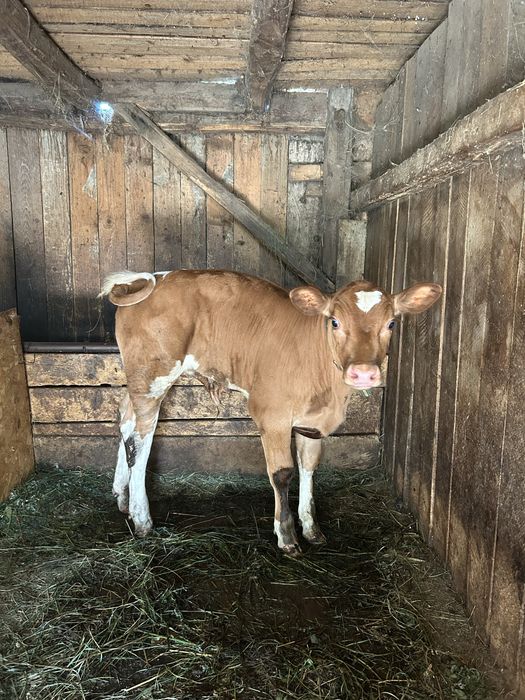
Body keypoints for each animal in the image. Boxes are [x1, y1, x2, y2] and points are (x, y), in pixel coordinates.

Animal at [101, 269, 441, 555]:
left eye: (392, 323)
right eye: (334, 322)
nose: (364, 373)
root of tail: (149, 277)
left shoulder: (312, 423)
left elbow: (308, 467)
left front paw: (311, 527)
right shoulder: (272, 415)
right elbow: (282, 473)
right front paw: (287, 535)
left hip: (140, 380)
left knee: (125, 417)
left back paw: (121, 497)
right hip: (152, 376)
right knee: (140, 440)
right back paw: (142, 518)